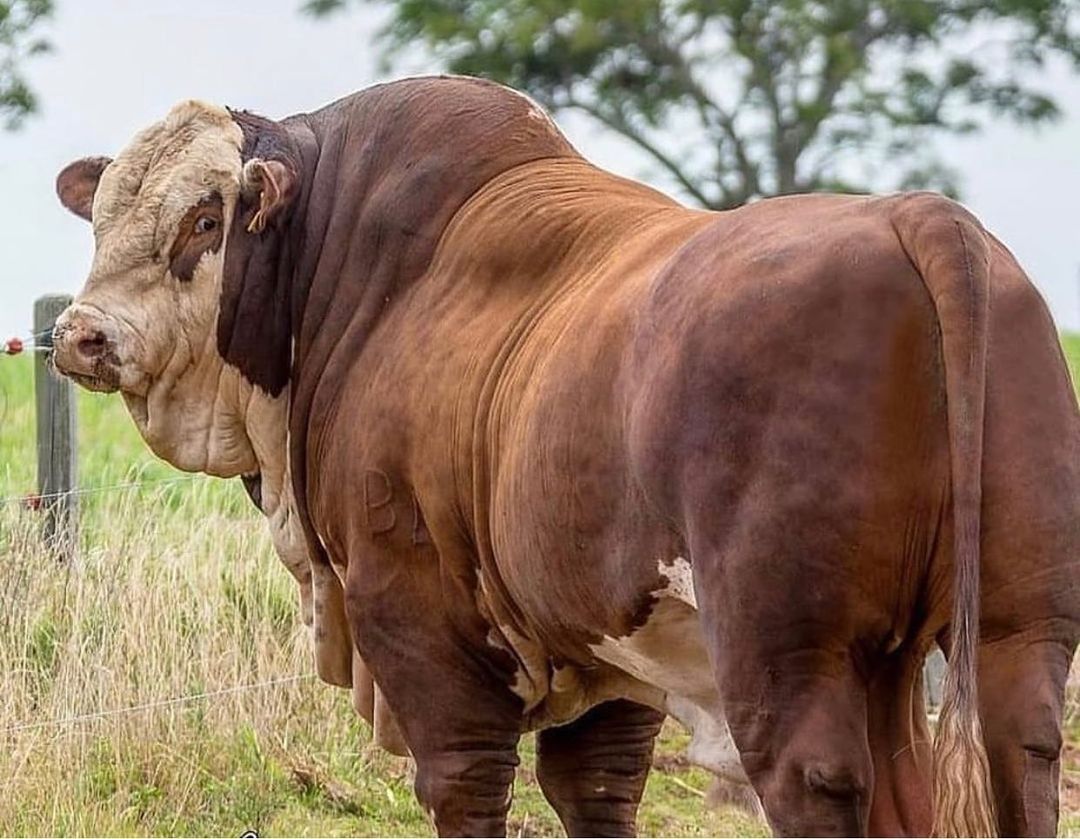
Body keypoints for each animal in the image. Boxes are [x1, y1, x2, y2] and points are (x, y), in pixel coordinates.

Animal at [50, 76, 1080, 829]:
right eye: (101, 218)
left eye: (204, 221)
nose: (80, 335)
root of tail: (923, 217)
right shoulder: (607, 644)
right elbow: (596, 788)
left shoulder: (414, 611)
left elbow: (465, 783)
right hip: (1005, 633)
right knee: (1013, 758)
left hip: (786, 652)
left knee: (815, 777)